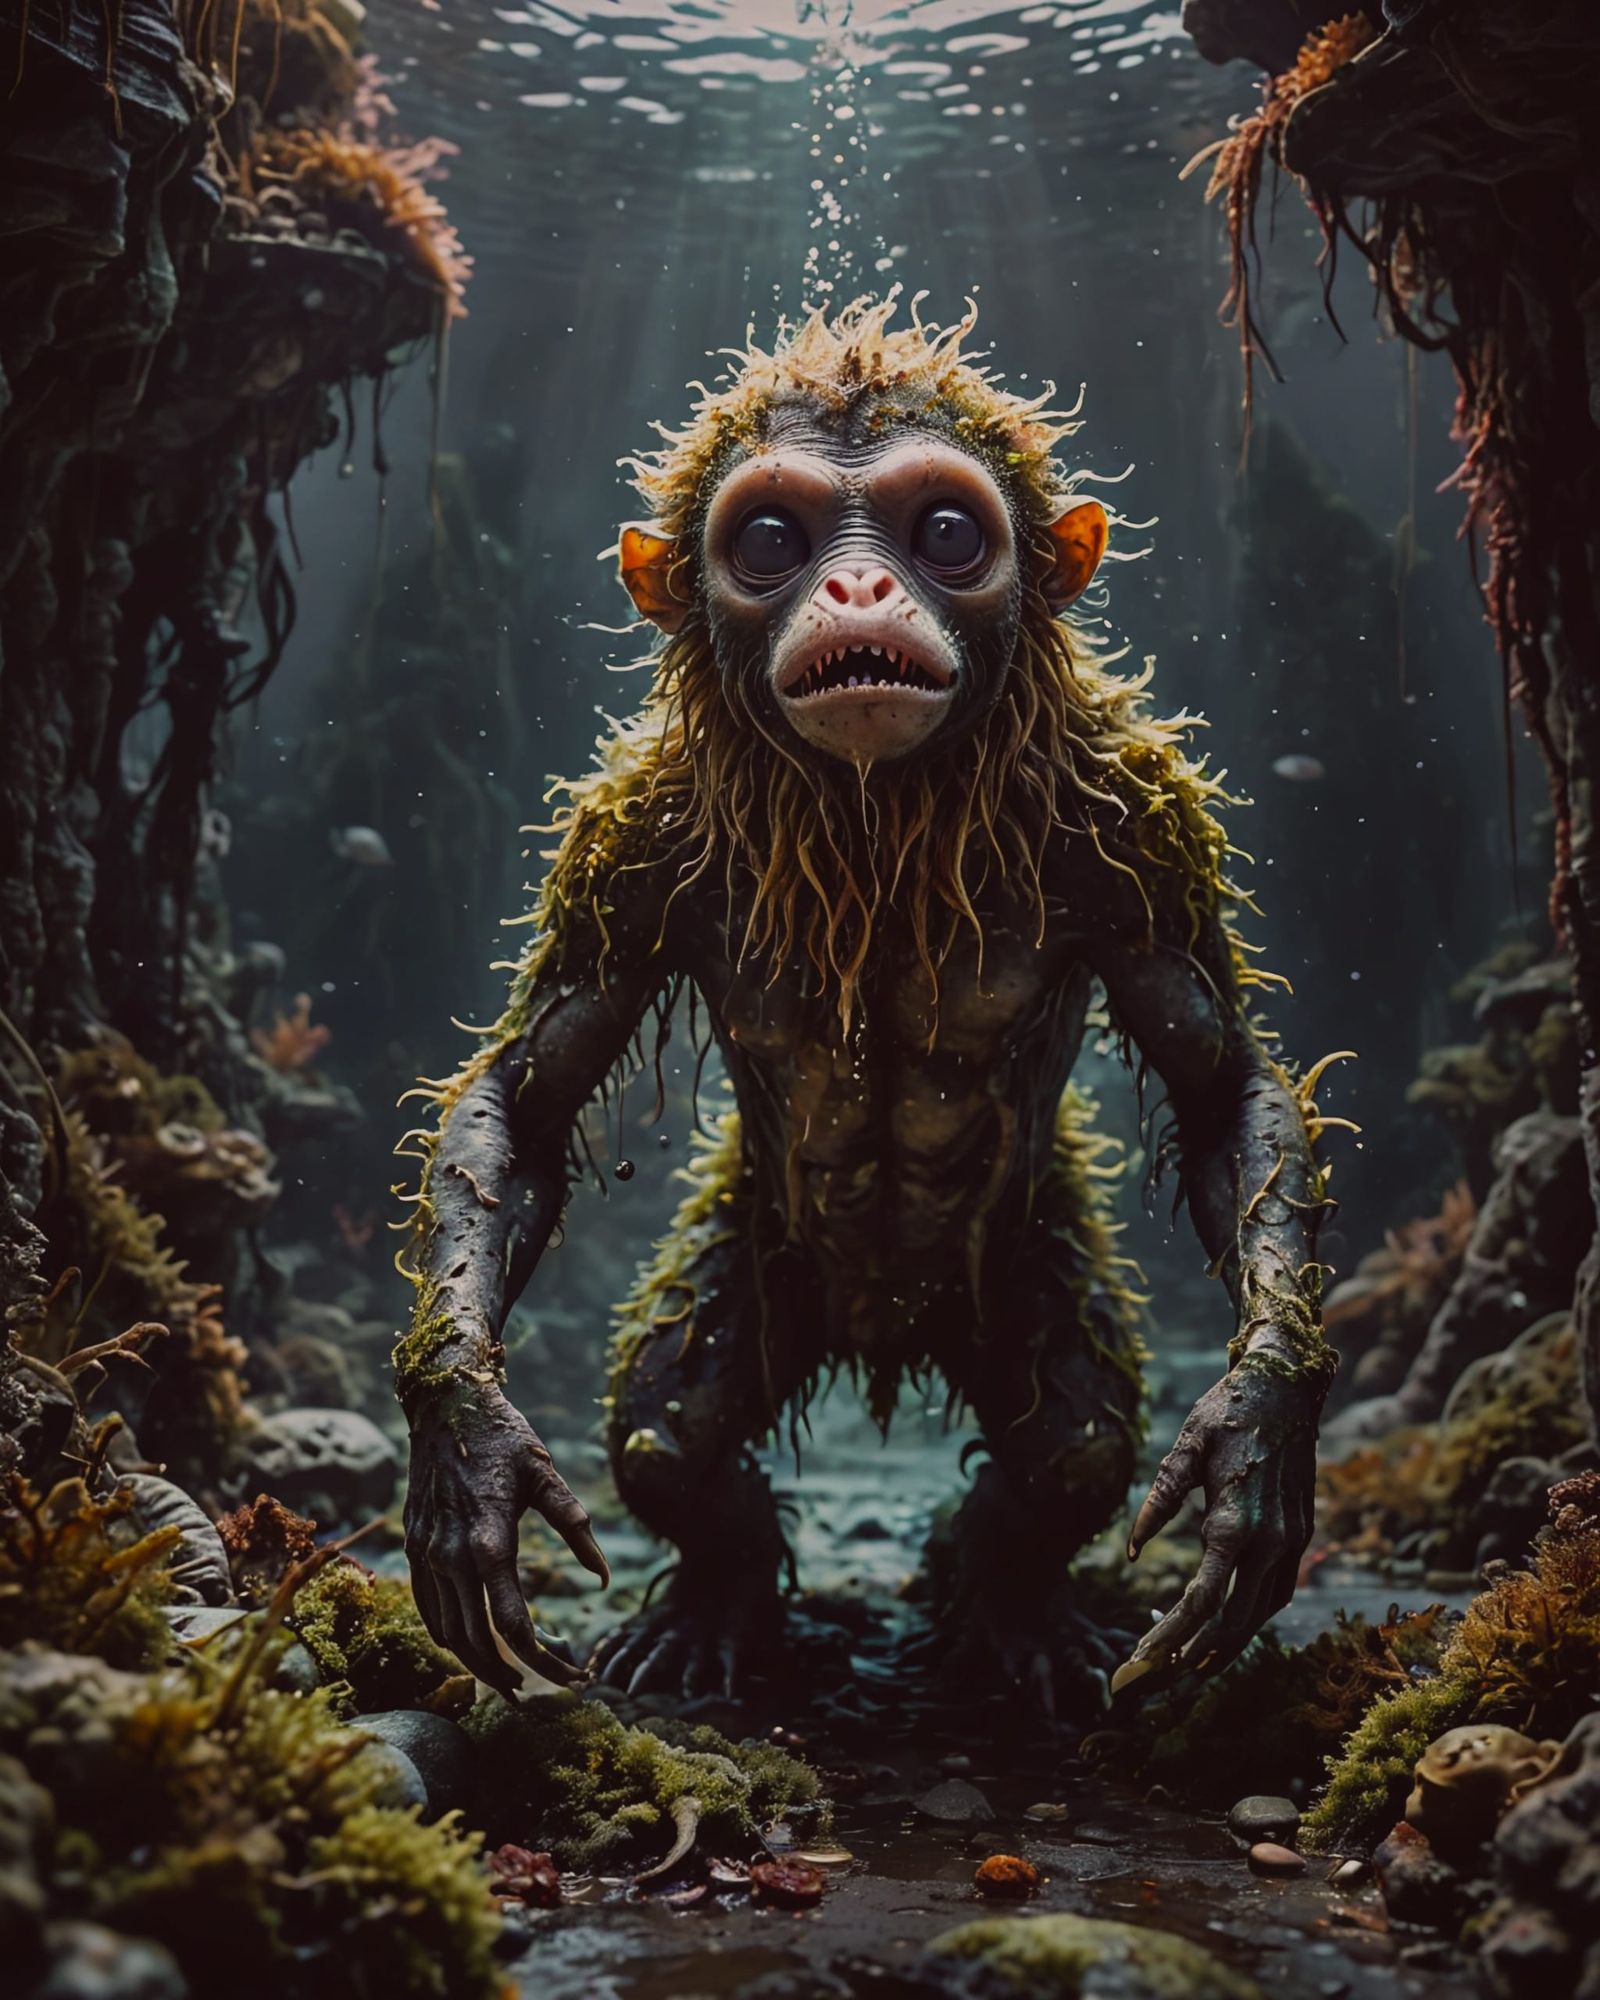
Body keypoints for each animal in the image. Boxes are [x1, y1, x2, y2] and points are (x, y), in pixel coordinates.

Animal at [394, 299, 1338, 1713]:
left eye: (943, 533)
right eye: (770, 542)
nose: (853, 588)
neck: (881, 815)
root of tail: (885, 1347)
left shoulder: (1134, 822)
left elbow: (1223, 1087)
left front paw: (1258, 1434)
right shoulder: (631, 842)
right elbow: (528, 1092)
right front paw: (466, 1445)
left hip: (1019, 1262)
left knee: (1068, 1447)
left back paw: (1002, 1601)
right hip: (763, 1255)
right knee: (669, 1434)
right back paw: (715, 1610)